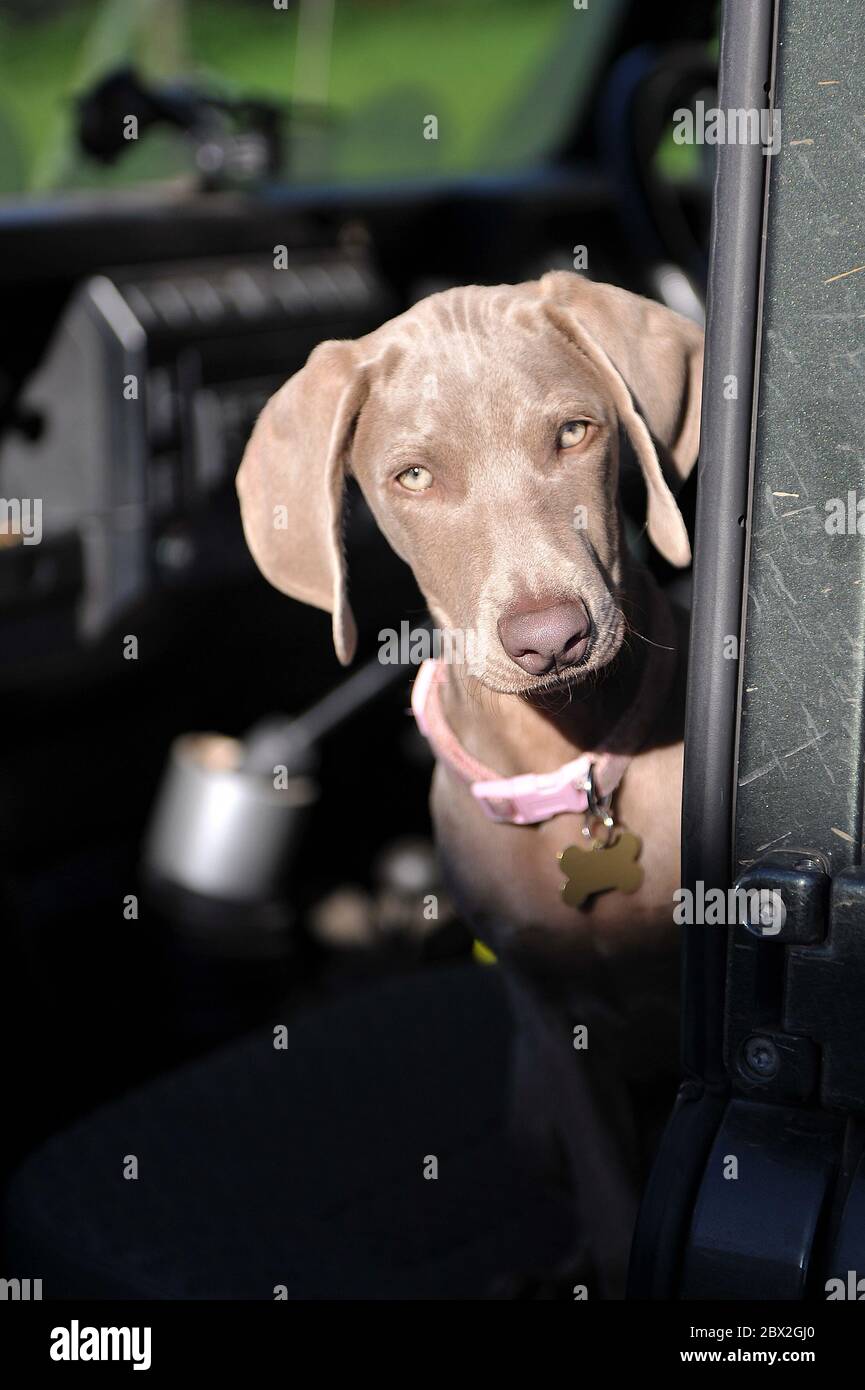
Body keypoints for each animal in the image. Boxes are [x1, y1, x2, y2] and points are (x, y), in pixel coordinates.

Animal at [235, 273, 706, 1301]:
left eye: (574, 432)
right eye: (413, 478)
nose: (549, 638)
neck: (568, 765)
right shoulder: (548, 1017)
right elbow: (610, 1199)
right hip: (527, 1107)